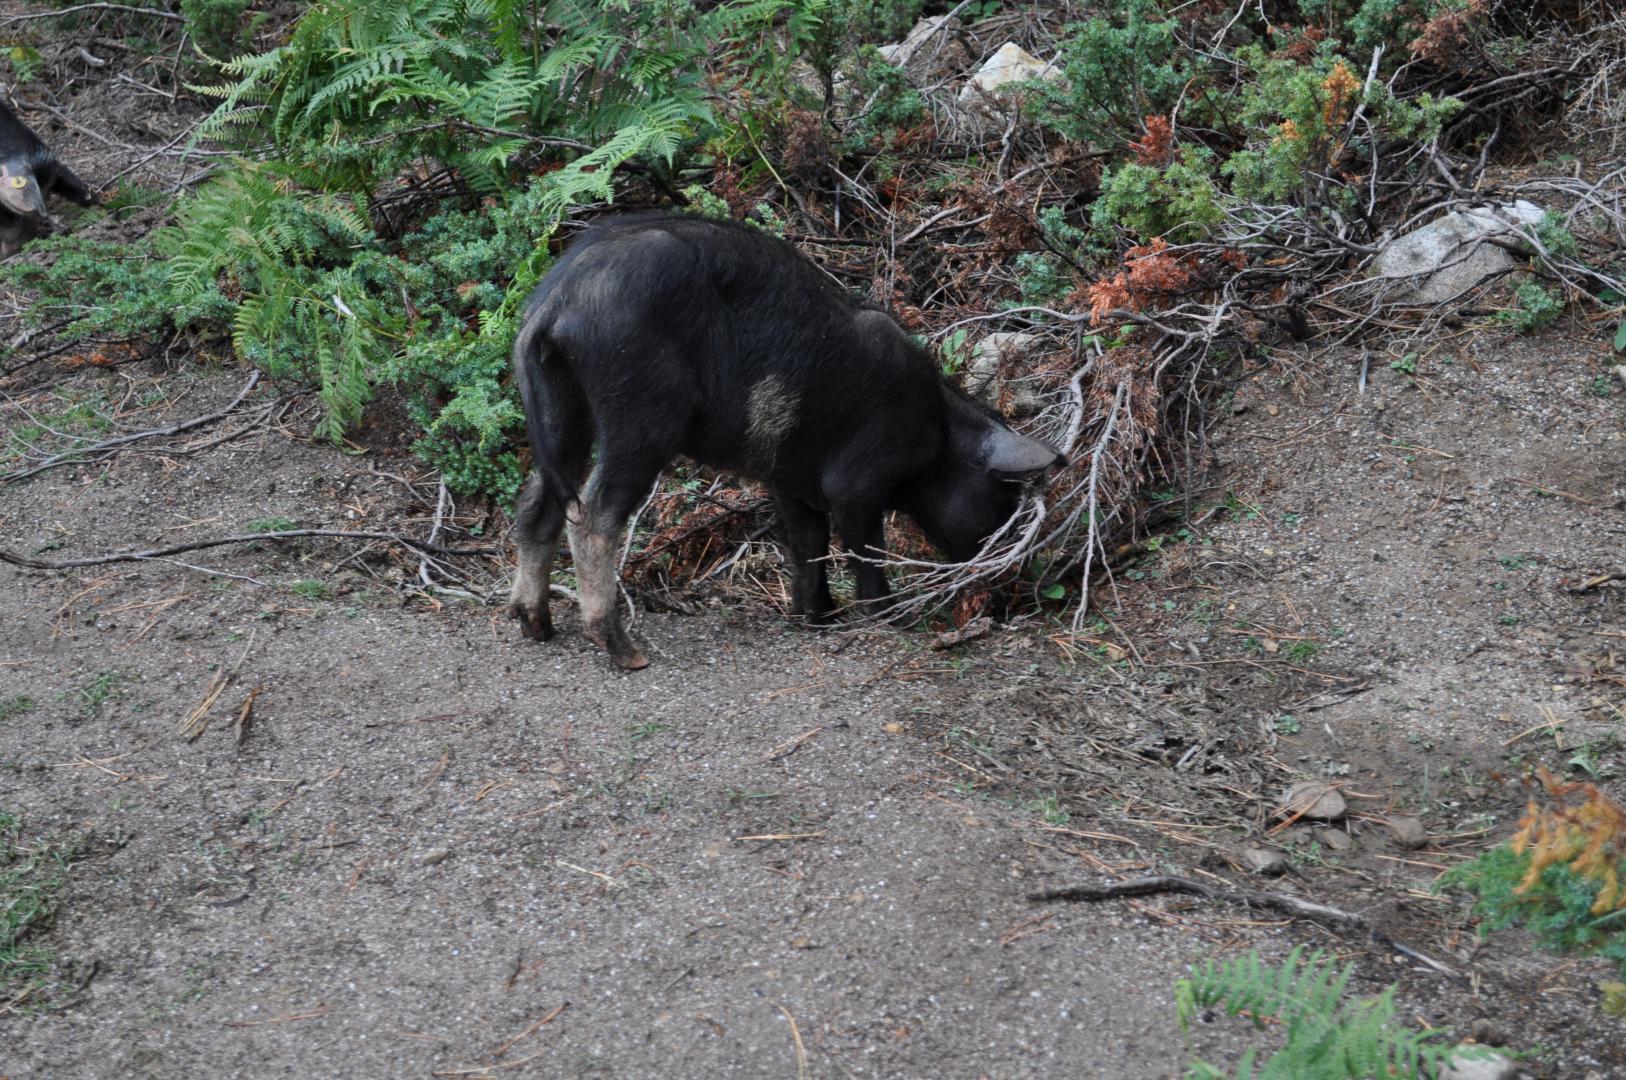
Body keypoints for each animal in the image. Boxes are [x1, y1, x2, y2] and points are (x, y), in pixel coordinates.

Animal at [510, 216, 1066, 670]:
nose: (1007, 596)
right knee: (593, 518)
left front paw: (816, 619)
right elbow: (865, 551)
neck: (937, 443)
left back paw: (537, 627)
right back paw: (627, 653)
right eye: (1003, 500)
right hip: (640, 419)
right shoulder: (855, 485)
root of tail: (553, 303)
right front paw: (891, 620)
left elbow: (807, 547)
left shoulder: (791, 482)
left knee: (537, 503)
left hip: (564, 408)